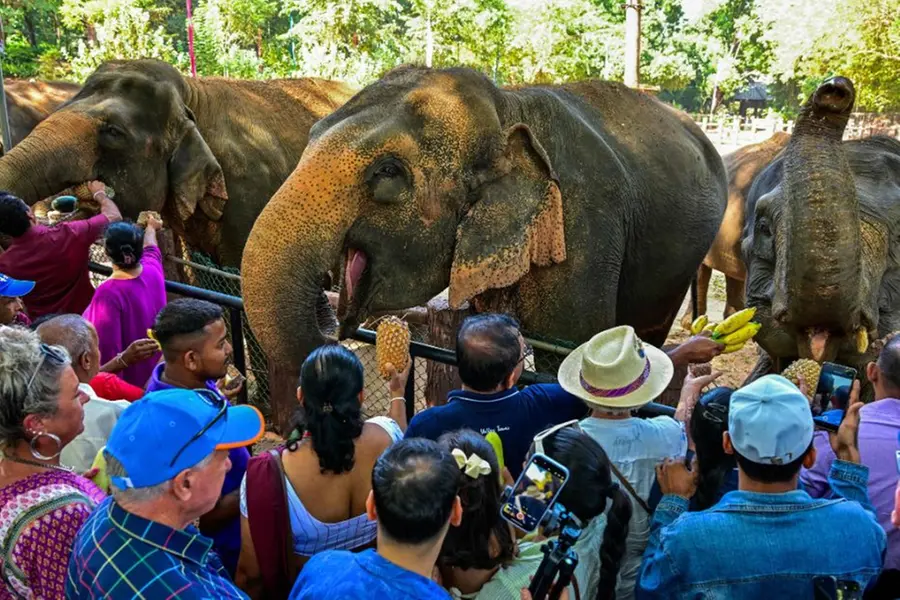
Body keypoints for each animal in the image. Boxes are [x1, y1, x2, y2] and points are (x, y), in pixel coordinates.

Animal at [242, 65, 728, 374]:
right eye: (310, 136)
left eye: (388, 172)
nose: (329, 315)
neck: (509, 108)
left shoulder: (584, 225)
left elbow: (569, 354)